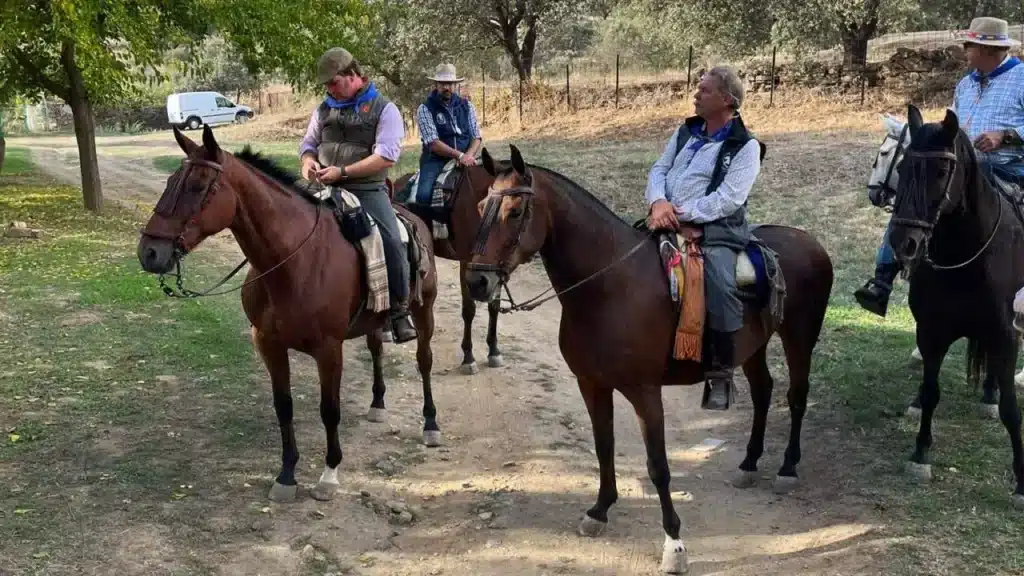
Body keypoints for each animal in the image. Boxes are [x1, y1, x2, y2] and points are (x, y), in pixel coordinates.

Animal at [136, 125, 440, 502]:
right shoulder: (268, 344)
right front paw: (287, 474)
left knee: (424, 361)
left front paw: (329, 474)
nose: (149, 252)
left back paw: (431, 425)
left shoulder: (329, 349)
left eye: (197, 186)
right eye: (170, 182)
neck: (294, 261)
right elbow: (284, 406)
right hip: (374, 322)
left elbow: (329, 410)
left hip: (424, 311)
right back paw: (378, 405)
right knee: (376, 350)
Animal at [468, 144, 835, 573]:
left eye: (514, 212)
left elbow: (658, 467)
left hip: (800, 338)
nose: (477, 281)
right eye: (480, 207)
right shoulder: (592, 384)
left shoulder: (645, 392)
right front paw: (599, 510)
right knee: (763, 392)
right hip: (754, 347)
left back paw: (788, 467)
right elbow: (603, 446)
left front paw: (674, 544)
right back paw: (748, 463)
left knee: (796, 397)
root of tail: (810, 241)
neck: (610, 287)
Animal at [888, 103, 1024, 502]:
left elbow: (1012, 410)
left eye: (941, 171)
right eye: (903, 167)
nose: (904, 243)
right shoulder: (931, 332)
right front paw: (920, 453)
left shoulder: (1005, 335)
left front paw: (1021, 480)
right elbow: (932, 392)